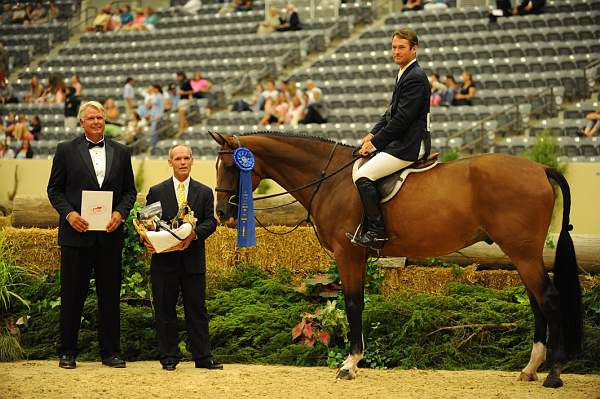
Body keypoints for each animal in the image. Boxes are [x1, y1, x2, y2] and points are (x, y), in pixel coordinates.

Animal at [210, 133, 580, 390]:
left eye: (231, 167)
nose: (221, 213)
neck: (329, 181)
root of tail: (541, 168)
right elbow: (357, 303)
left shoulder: (348, 253)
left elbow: (353, 303)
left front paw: (350, 364)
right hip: (521, 254)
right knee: (536, 302)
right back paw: (530, 369)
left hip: (523, 253)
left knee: (549, 299)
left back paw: (555, 373)